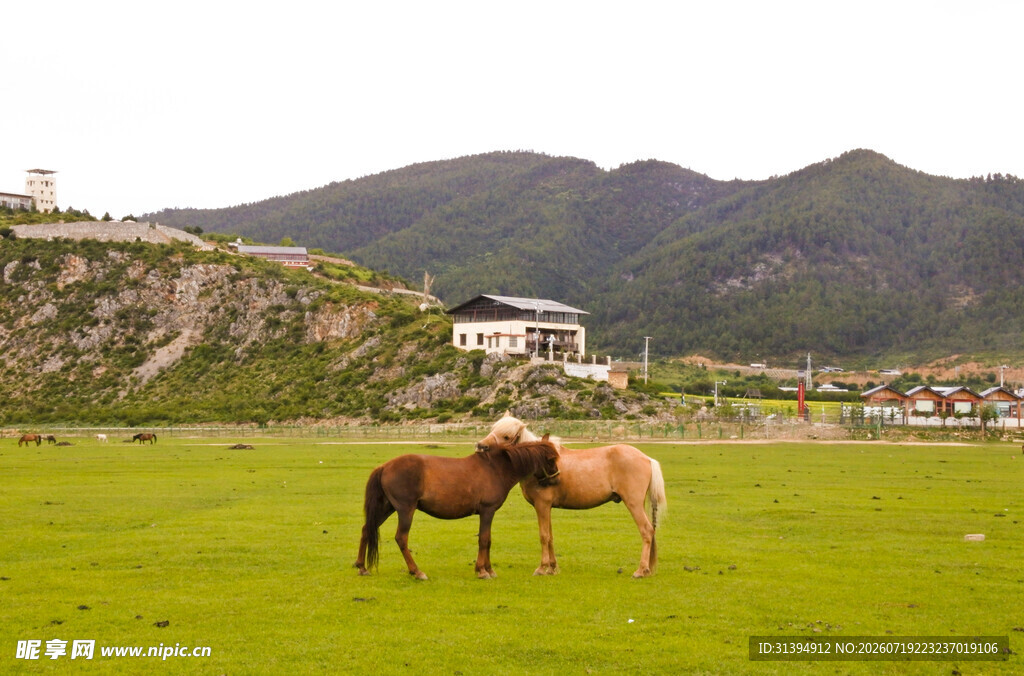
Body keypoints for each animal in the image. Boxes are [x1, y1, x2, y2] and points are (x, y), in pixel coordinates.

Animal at [355, 438, 560, 580]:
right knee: (401, 538)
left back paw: (362, 567)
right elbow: (484, 540)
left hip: (387, 508)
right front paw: (482, 571)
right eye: (551, 460)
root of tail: (384, 466)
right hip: (406, 510)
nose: (556, 480)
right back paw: (417, 572)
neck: (495, 468)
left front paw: (489, 569)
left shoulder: (488, 513)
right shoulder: (487, 511)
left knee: (366, 529)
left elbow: (488, 540)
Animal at [476, 413, 667, 578]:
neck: (540, 462)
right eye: (492, 429)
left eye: (506, 436)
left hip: (633, 503)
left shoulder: (542, 505)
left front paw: (542, 568)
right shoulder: (547, 508)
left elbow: (543, 536)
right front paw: (552, 568)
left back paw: (641, 570)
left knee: (646, 531)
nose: (480, 446)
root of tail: (647, 458)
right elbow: (550, 537)